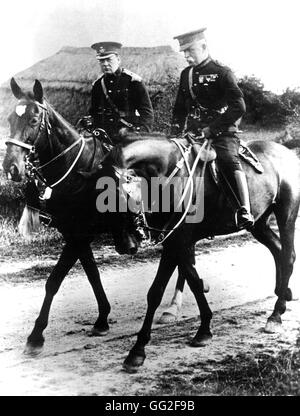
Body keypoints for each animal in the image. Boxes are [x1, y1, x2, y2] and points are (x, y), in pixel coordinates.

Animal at [2, 79, 141, 358]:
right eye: (11, 118)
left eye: (34, 120)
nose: (10, 167)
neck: (77, 170)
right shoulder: (74, 234)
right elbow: (92, 274)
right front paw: (102, 319)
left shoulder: (79, 236)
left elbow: (53, 281)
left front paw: (35, 336)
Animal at [101, 129, 300, 370]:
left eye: (119, 195)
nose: (124, 245)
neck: (169, 173)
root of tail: (287, 152)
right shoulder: (175, 243)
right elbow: (185, 284)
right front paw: (202, 330)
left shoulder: (179, 241)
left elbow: (168, 288)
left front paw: (139, 349)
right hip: (259, 224)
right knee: (278, 250)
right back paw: (283, 295)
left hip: (286, 214)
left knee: (288, 256)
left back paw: (275, 315)